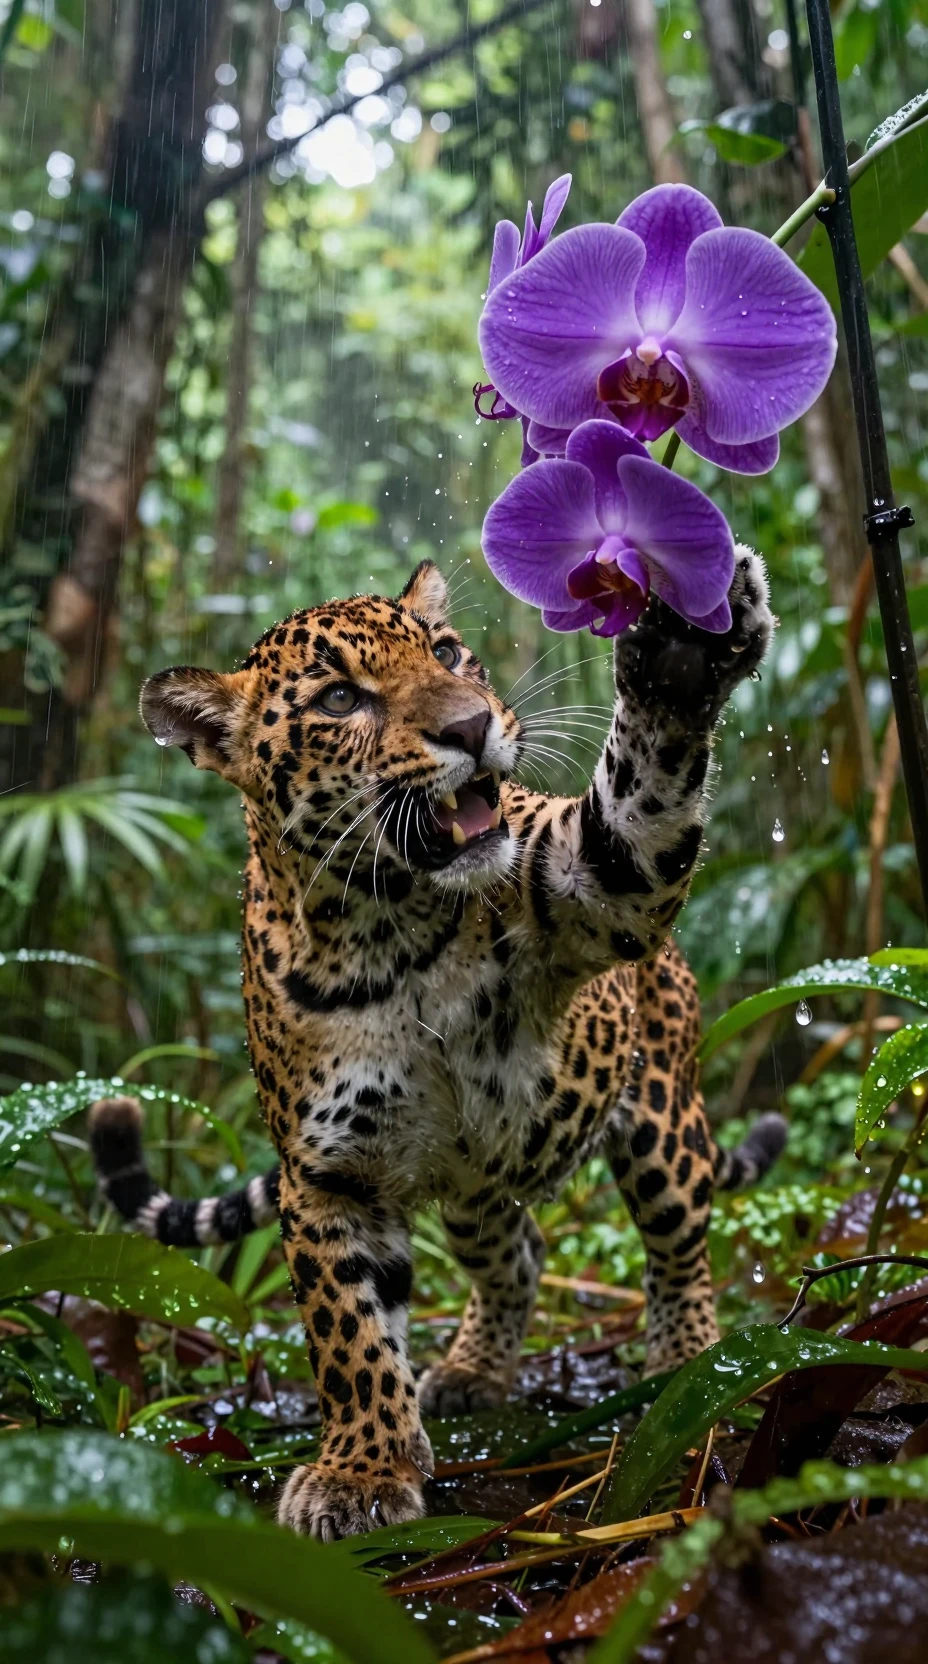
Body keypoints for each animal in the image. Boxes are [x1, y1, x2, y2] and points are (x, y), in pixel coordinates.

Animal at [89, 551, 786, 1541]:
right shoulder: (328, 1175)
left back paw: (688, 1361)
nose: (470, 727)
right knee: (518, 1253)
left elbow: (637, 799)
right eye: (341, 700)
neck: (389, 929)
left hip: (660, 1113)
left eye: (450, 653)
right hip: (475, 1187)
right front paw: (364, 1471)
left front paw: (681, 655)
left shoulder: (593, 882)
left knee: (679, 1240)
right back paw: (471, 1371)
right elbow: (348, 1335)